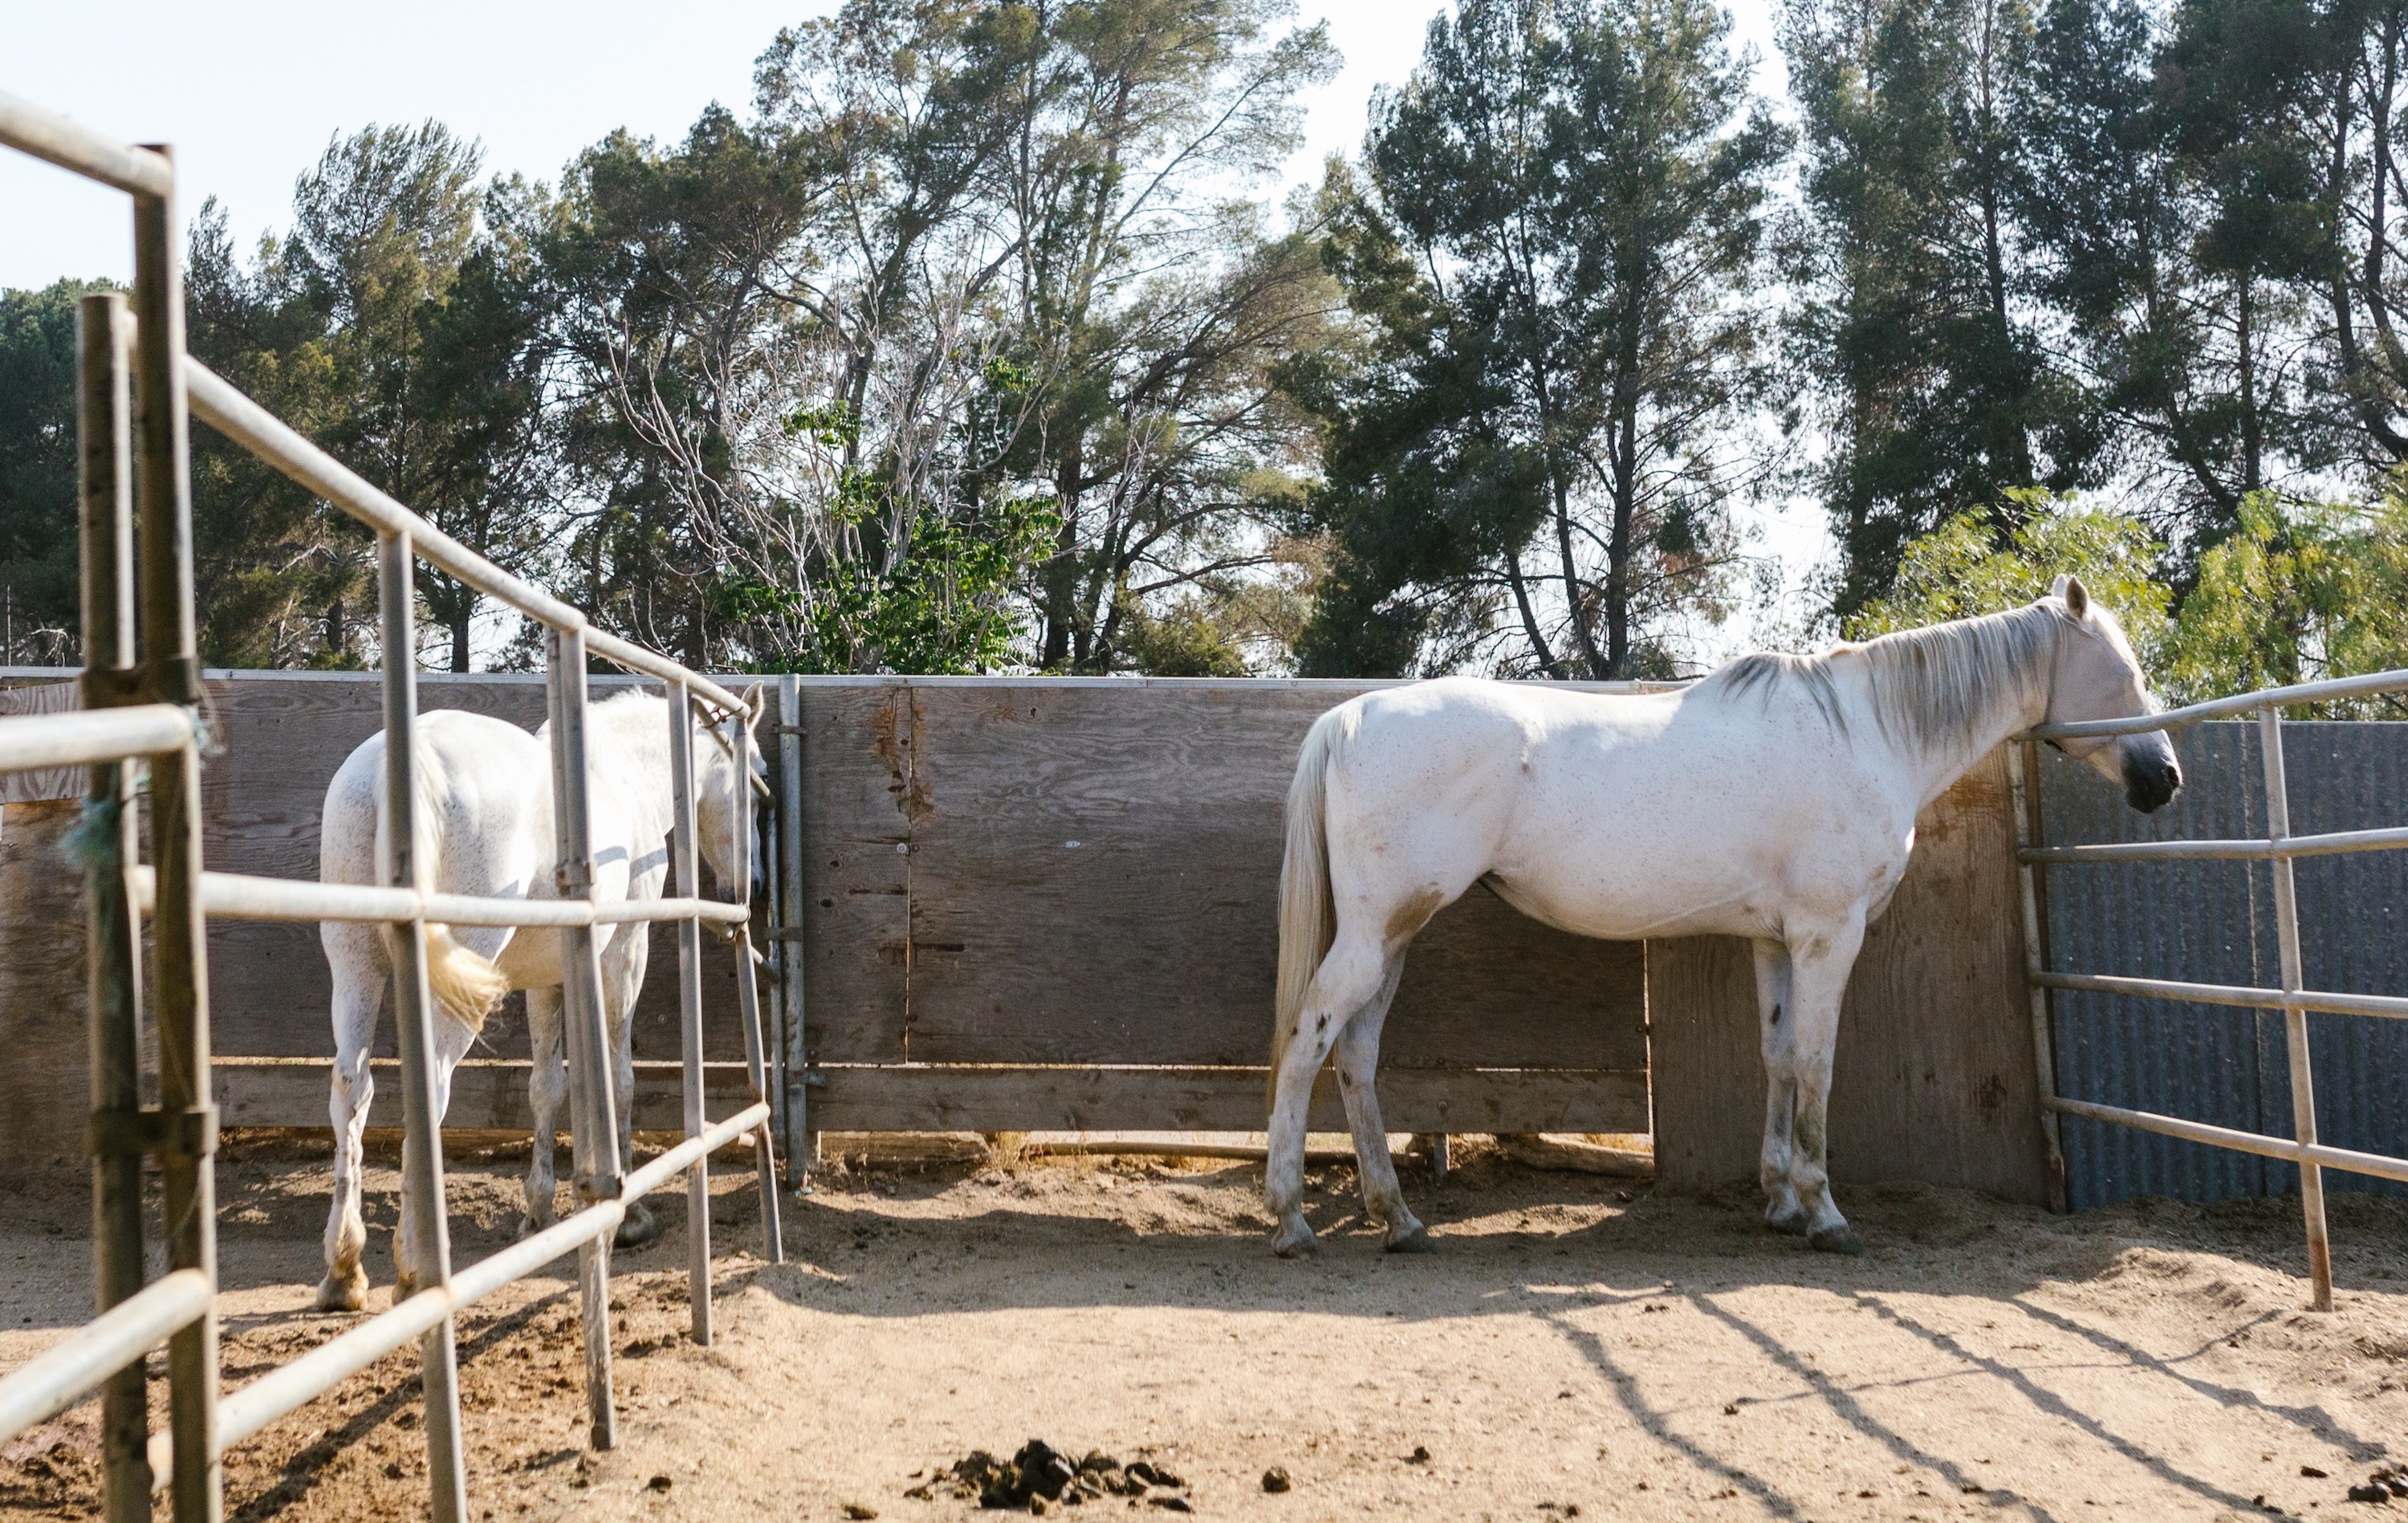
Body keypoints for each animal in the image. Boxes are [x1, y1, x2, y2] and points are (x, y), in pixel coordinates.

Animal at [313, 686, 765, 1311]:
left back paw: (344, 1268)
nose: (755, 887)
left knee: (352, 1089)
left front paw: (540, 1209)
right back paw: (412, 1268)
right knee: (429, 1089)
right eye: (753, 785)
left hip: (354, 964)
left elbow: (547, 1086)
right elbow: (620, 1080)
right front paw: (631, 1214)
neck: (621, 773)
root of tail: (400, 765)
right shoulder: (624, 956)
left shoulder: (546, 980)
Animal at [1265, 577, 2180, 1258]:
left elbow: (1777, 1057)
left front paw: (1779, 1201)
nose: (2164, 777)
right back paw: (1291, 1218)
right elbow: (1816, 1063)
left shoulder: (1775, 940)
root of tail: (1350, 717)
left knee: (1356, 1055)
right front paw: (1825, 1212)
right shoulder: (1828, 935)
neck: (1863, 732)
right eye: (2124, 670)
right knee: (1309, 1038)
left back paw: (1398, 1217)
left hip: (1394, 937)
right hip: (1377, 934)